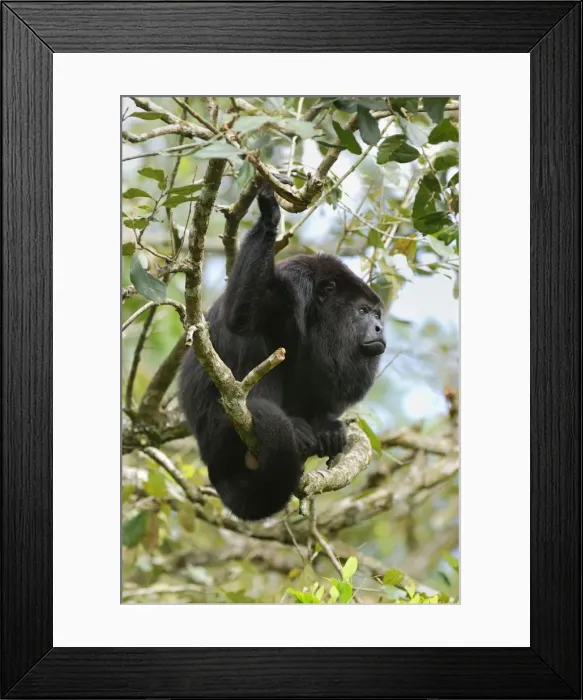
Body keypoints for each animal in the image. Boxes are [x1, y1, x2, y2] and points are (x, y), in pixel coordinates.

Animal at [178, 179, 386, 521]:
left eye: (378, 314)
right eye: (362, 312)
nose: (381, 328)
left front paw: (327, 426)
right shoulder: (290, 287)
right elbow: (239, 318)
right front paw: (268, 212)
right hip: (218, 434)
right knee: (256, 344)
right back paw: (294, 430)